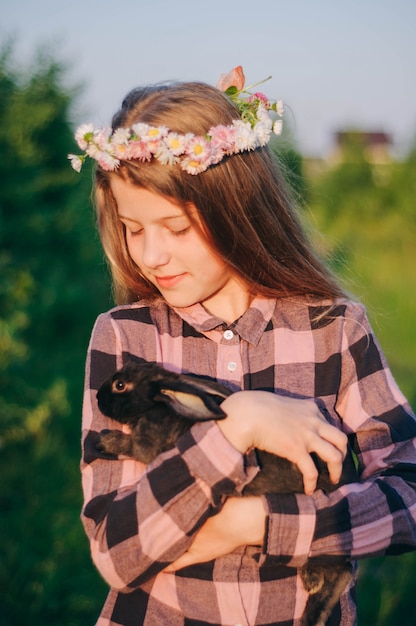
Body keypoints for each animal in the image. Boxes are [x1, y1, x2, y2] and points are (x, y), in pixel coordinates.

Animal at [96, 360, 356, 624]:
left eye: (120, 385)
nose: (97, 397)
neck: (158, 405)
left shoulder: (145, 445)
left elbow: (129, 445)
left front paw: (104, 441)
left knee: (340, 571)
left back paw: (311, 593)